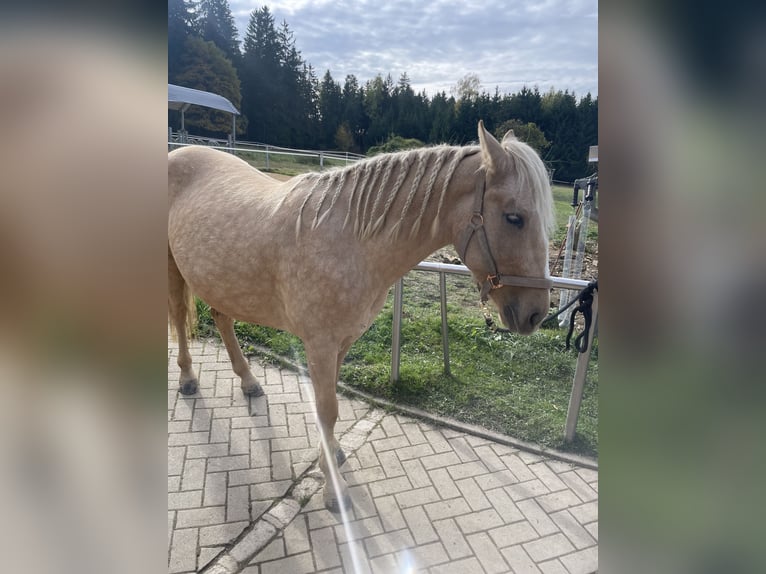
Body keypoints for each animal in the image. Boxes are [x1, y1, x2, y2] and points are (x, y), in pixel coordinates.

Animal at [168, 121, 555, 511]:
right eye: (515, 217)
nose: (537, 313)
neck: (352, 240)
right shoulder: (320, 345)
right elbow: (326, 409)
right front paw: (332, 490)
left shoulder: (342, 341)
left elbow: (332, 406)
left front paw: (333, 456)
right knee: (178, 317)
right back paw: (187, 378)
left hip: (220, 282)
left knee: (221, 318)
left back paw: (248, 381)